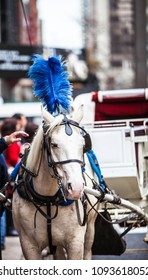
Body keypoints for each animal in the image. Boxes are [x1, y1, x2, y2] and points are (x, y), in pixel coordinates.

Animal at [12, 106, 99, 260]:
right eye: (54, 144)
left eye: (83, 145)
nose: (76, 188)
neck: (48, 199)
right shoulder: (28, 245)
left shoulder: (75, 242)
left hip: (90, 228)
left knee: (88, 250)